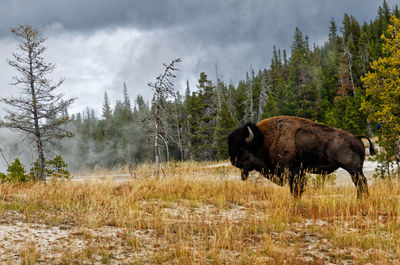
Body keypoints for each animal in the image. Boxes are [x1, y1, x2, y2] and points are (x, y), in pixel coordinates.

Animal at [228, 115, 376, 198]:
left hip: (354, 169)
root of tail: (356, 137)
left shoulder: (291, 171)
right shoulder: (300, 171)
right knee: (360, 183)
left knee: (361, 183)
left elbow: (295, 188)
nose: (233, 162)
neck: (265, 140)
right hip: (355, 170)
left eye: (242, 148)